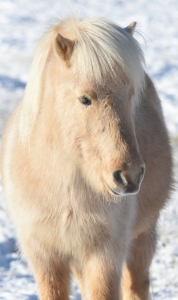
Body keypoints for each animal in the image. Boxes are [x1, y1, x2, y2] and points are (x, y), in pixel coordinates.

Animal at [0, 17, 172, 300]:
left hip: (142, 236)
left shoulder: (105, 254)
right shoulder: (45, 256)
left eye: (131, 96)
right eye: (84, 99)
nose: (129, 175)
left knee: (136, 285)